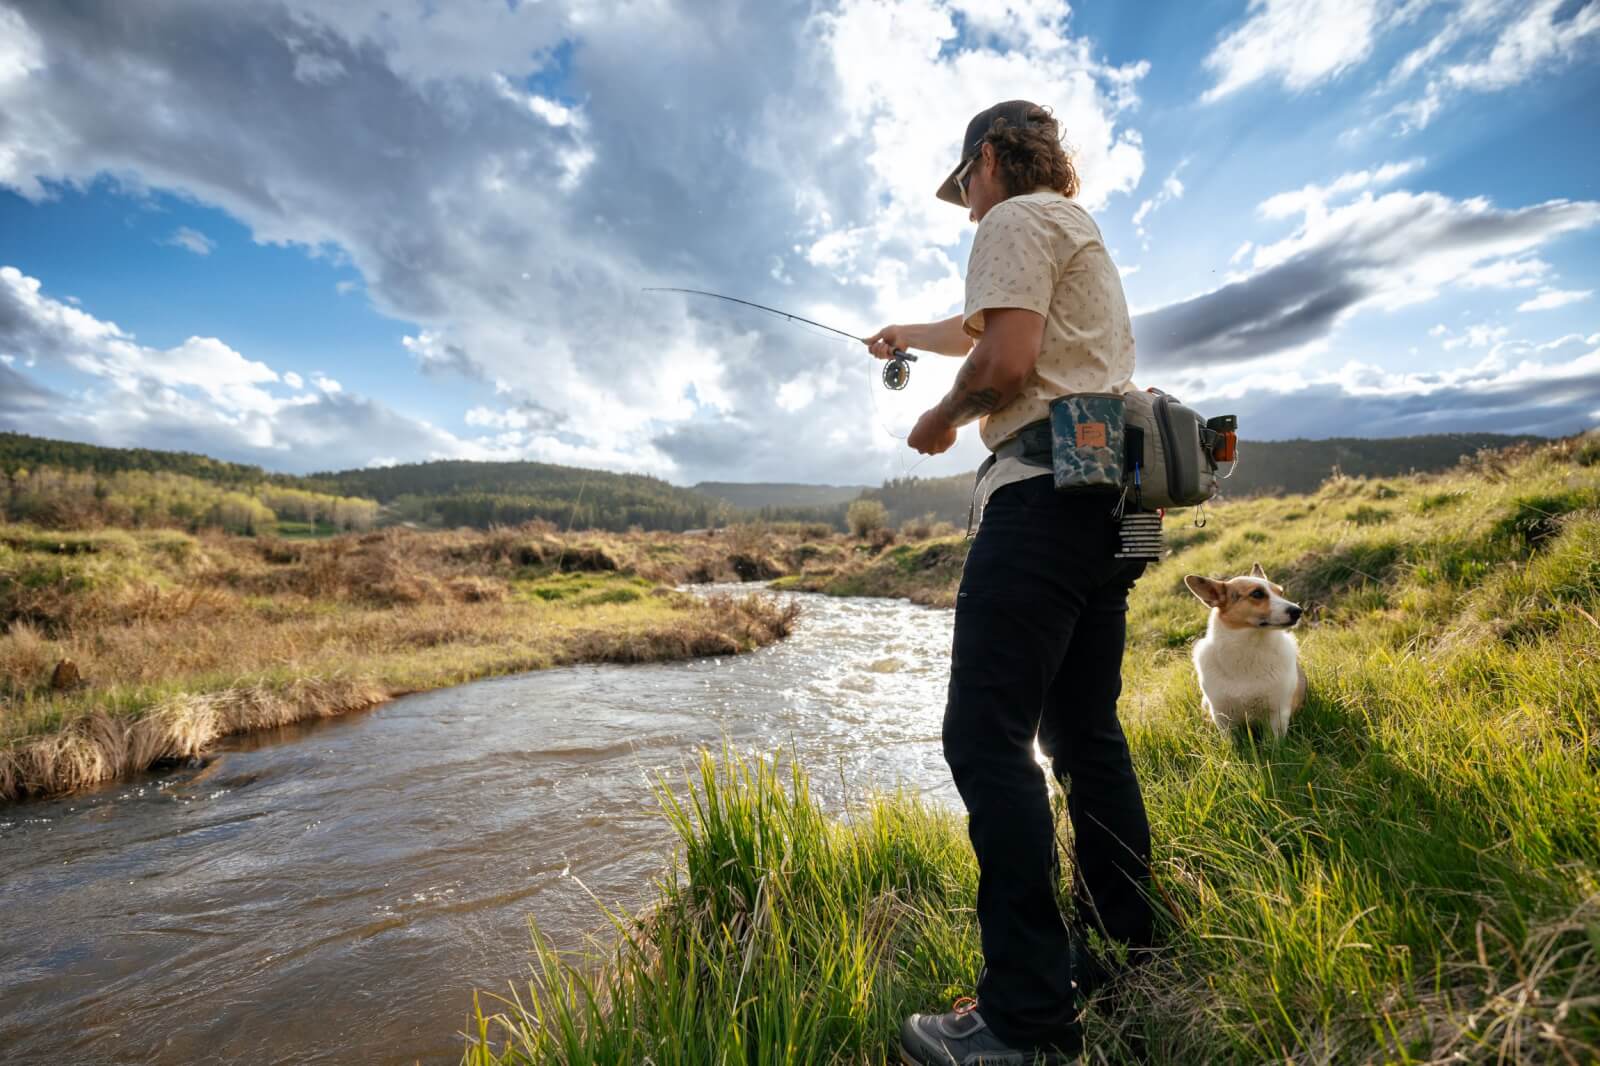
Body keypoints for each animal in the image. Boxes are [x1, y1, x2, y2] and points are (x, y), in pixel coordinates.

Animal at [1184, 560, 1305, 736]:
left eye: (1280, 592)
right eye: (1257, 594)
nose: (1298, 611)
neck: (1250, 647)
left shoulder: (1278, 713)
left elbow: (1275, 741)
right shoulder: (1222, 718)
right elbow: (1229, 741)